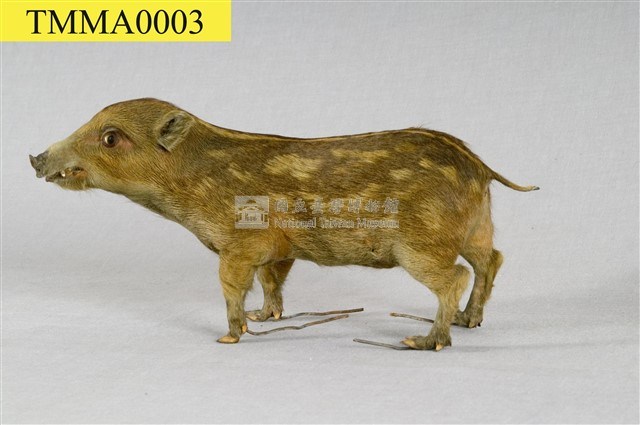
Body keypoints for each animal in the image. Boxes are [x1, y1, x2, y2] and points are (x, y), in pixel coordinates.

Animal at [30, 98, 538, 350]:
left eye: (110, 138)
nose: (35, 158)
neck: (193, 182)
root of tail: (480, 166)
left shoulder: (237, 244)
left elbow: (232, 287)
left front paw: (228, 336)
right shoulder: (279, 249)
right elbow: (272, 282)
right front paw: (264, 317)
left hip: (422, 245)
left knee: (456, 277)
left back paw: (425, 340)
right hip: (476, 227)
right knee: (493, 259)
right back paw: (471, 322)